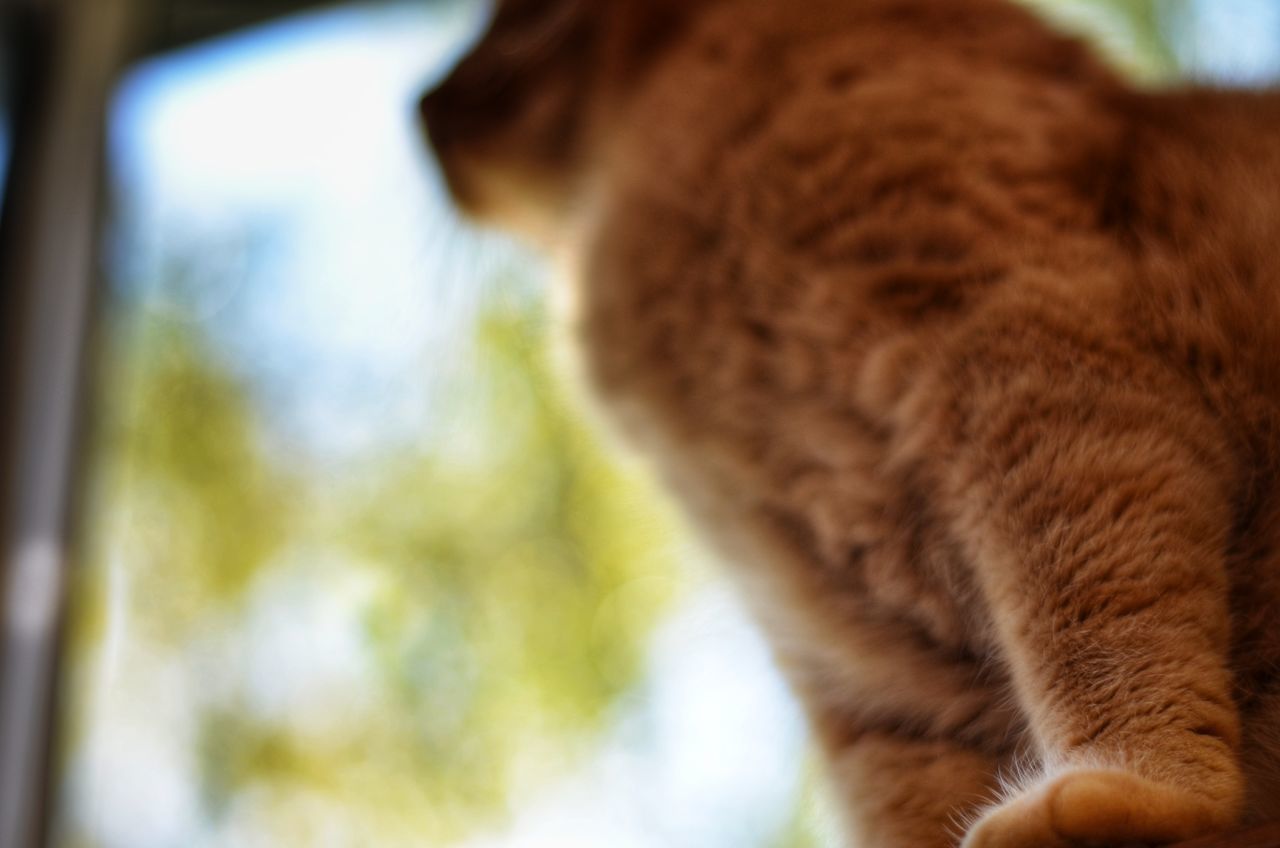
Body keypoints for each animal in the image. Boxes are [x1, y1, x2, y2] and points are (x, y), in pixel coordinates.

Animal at [424, 3, 1280, 845]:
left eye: (499, 24)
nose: (423, 104)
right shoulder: (834, 647)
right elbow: (895, 790)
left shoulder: (1023, 353)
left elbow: (1098, 612)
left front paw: (1131, 788)